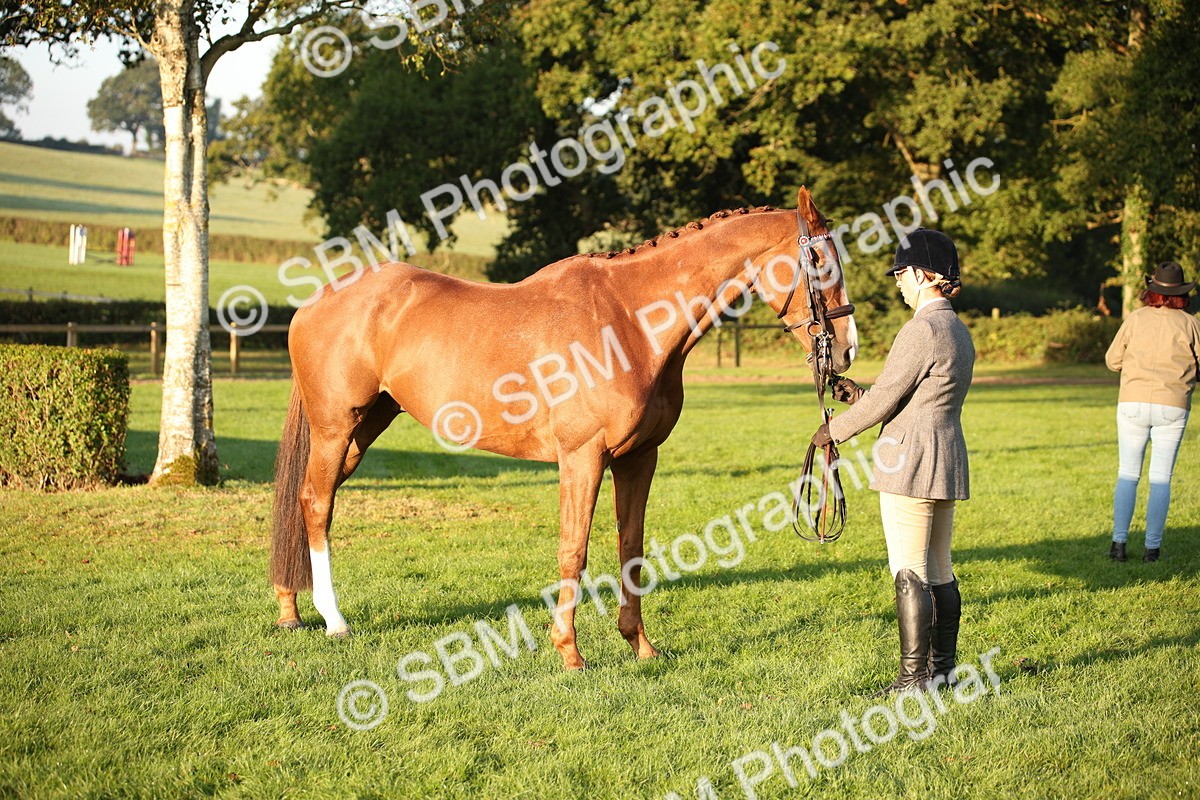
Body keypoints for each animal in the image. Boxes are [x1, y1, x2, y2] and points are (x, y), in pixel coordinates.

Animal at [270, 187, 858, 670]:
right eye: (818, 260)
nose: (847, 349)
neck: (629, 322)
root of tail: (315, 302)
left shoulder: (639, 458)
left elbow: (630, 546)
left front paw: (641, 646)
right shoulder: (583, 456)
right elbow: (573, 549)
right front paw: (569, 652)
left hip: (362, 430)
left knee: (307, 499)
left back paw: (290, 609)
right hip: (335, 428)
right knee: (317, 503)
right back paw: (334, 620)